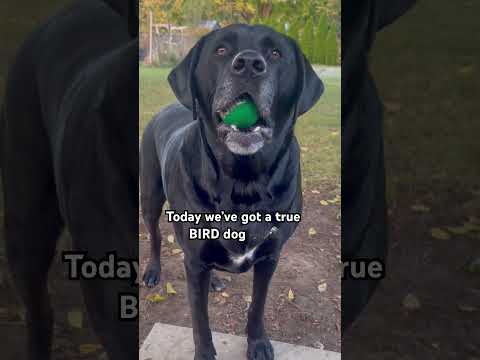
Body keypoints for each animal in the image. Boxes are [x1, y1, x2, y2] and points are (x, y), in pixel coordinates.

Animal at [142, 23, 322, 358]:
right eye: (221, 50)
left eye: (275, 53)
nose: (249, 64)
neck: (243, 184)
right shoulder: (195, 261)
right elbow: (200, 319)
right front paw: (204, 352)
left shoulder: (270, 257)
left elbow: (258, 306)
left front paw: (258, 343)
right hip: (149, 197)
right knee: (156, 236)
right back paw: (152, 271)